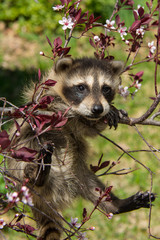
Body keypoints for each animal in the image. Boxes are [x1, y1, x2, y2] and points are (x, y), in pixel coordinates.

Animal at [7, 57, 155, 239]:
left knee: (95, 188)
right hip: (21, 159)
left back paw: (117, 205)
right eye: (81, 87)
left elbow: (89, 129)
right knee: (26, 162)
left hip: (79, 173)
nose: (98, 109)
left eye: (106, 88)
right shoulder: (40, 100)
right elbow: (51, 106)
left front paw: (110, 112)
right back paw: (38, 174)